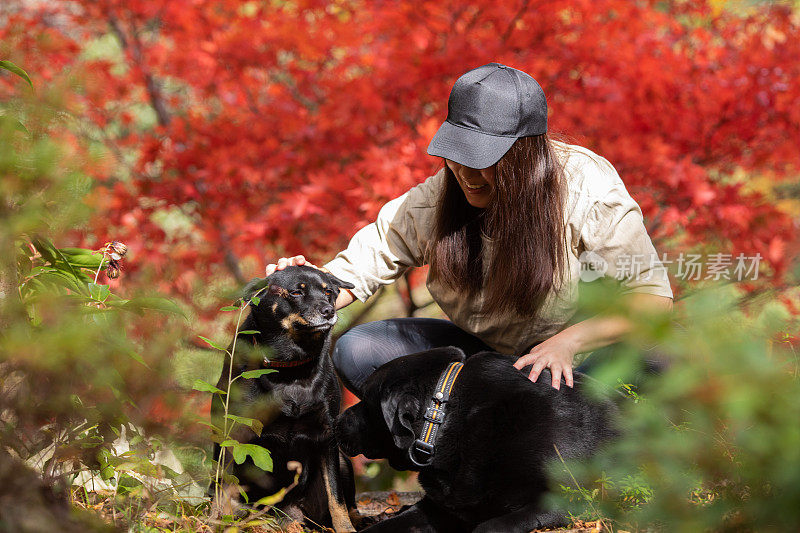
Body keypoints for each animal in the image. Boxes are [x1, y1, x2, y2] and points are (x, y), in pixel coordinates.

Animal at [216, 264, 360, 528]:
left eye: (328, 292)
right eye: (296, 292)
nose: (329, 311)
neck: (292, 368)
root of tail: (291, 513)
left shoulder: (327, 435)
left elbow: (336, 499)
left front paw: (346, 528)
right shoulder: (235, 433)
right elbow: (225, 487)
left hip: (343, 461)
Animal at [334, 344, 616, 528]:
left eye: (365, 401)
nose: (336, 422)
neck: (451, 418)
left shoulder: (567, 499)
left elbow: (489, 527)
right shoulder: (436, 507)